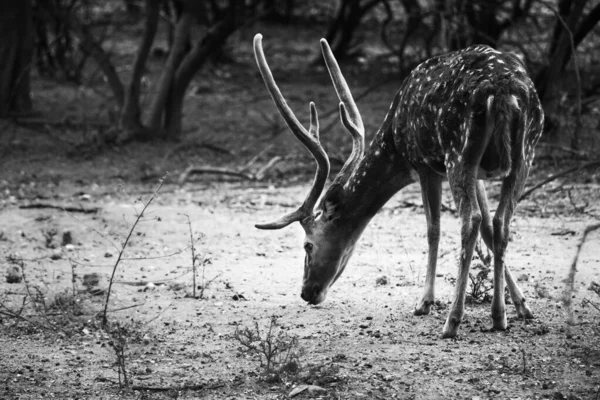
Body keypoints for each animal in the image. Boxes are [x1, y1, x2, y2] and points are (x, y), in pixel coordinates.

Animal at [253, 33, 544, 338]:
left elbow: (433, 229)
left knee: (470, 220)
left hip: (458, 151)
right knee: (501, 222)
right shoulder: (478, 174)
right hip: (524, 152)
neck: (395, 142)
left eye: (308, 245)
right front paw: (522, 305)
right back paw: (498, 316)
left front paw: (424, 302)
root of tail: (502, 91)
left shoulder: (424, 165)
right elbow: (488, 229)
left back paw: (452, 320)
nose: (307, 292)